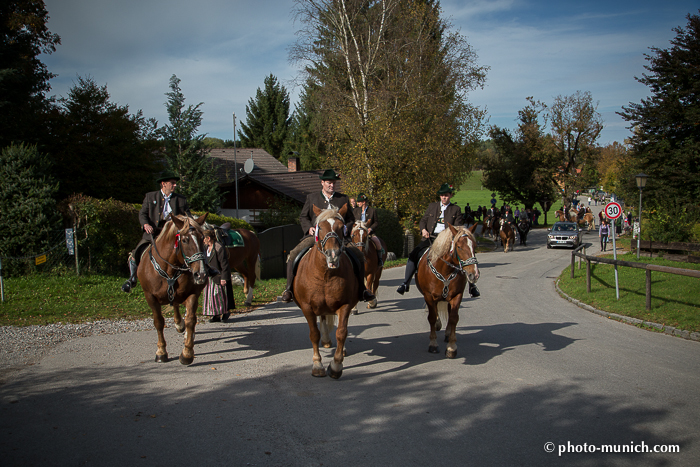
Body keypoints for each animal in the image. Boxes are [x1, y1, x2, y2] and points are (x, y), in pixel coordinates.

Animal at [137, 215, 208, 366]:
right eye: (185, 240)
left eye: (202, 238)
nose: (201, 274)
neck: (170, 269)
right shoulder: (150, 296)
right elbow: (158, 322)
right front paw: (161, 352)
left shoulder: (193, 294)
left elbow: (190, 319)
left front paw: (187, 353)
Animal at [290, 205, 358, 380]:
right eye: (319, 227)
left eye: (341, 227)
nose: (332, 254)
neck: (326, 274)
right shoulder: (307, 307)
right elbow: (314, 334)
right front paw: (317, 365)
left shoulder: (345, 305)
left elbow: (341, 332)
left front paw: (336, 366)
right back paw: (326, 340)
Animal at [416, 225, 482, 360]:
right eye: (459, 247)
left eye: (474, 246)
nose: (474, 274)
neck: (445, 270)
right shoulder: (429, 296)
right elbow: (431, 317)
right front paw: (433, 344)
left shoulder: (457, 296)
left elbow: (453, 318)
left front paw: (451, 347)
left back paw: (446, 333)